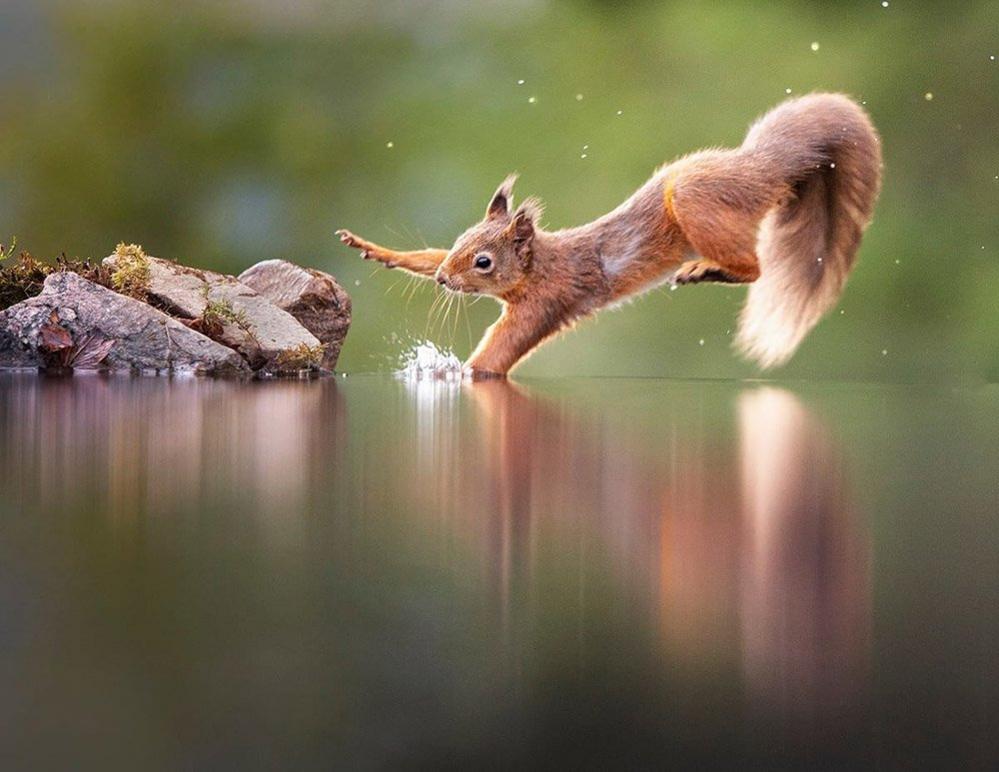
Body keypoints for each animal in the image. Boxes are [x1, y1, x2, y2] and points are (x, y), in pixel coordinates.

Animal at [338, 93, 884, 376]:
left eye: (484, 262)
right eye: (457, 245)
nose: (445, 282)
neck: (539, 265)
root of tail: (762, 166)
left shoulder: (543, 303)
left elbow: (495, 356)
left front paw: (459, 373)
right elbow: (422, 254)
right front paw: (371, 248)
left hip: (697, 201)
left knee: (754, 266)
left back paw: (704, 268)